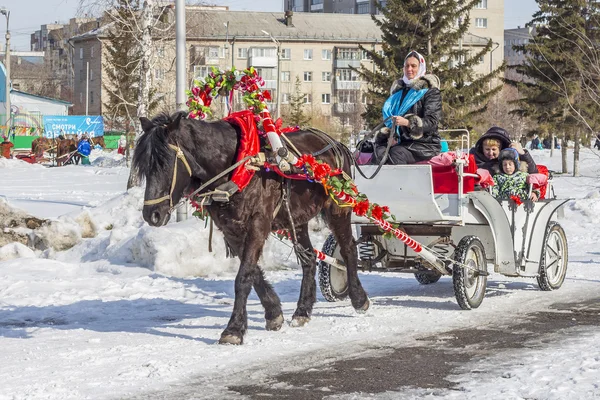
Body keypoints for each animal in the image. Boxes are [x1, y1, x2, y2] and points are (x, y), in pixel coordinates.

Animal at [132, 112, 370, 344]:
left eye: (165, 162)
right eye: (144, 167)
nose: (151, 214)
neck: (239, 167)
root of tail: (336, 144)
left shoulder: (258, 223)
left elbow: (243, 277)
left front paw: (234, 329)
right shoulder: (230, 229)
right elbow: (253, 272)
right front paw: (274, 313)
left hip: (338, 208)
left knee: (348, 249)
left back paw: (359, 299)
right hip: (297, 218)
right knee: (309, 258)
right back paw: (302, 311)